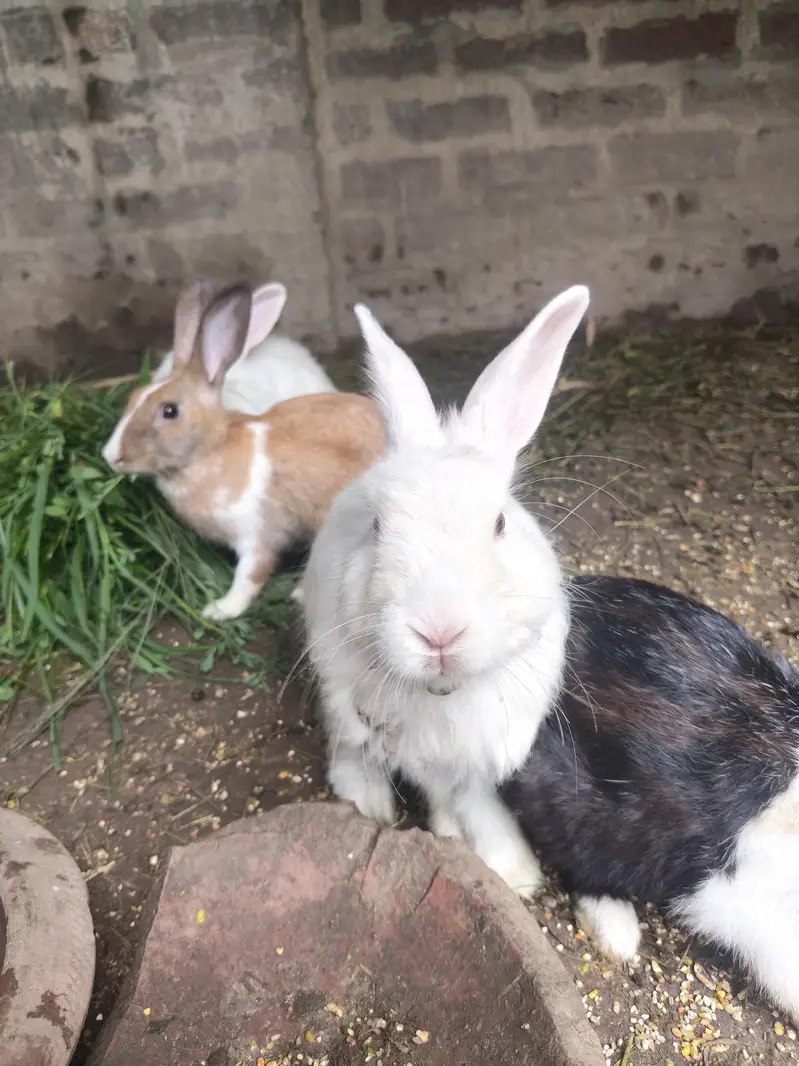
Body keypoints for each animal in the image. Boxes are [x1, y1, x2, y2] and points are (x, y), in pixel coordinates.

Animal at [300, 285, 591, 897]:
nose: (438, 631)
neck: (444, 694)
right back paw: (366, 801)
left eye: (500, 523)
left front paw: (513, 868)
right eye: (377, 526)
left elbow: (473, 796)